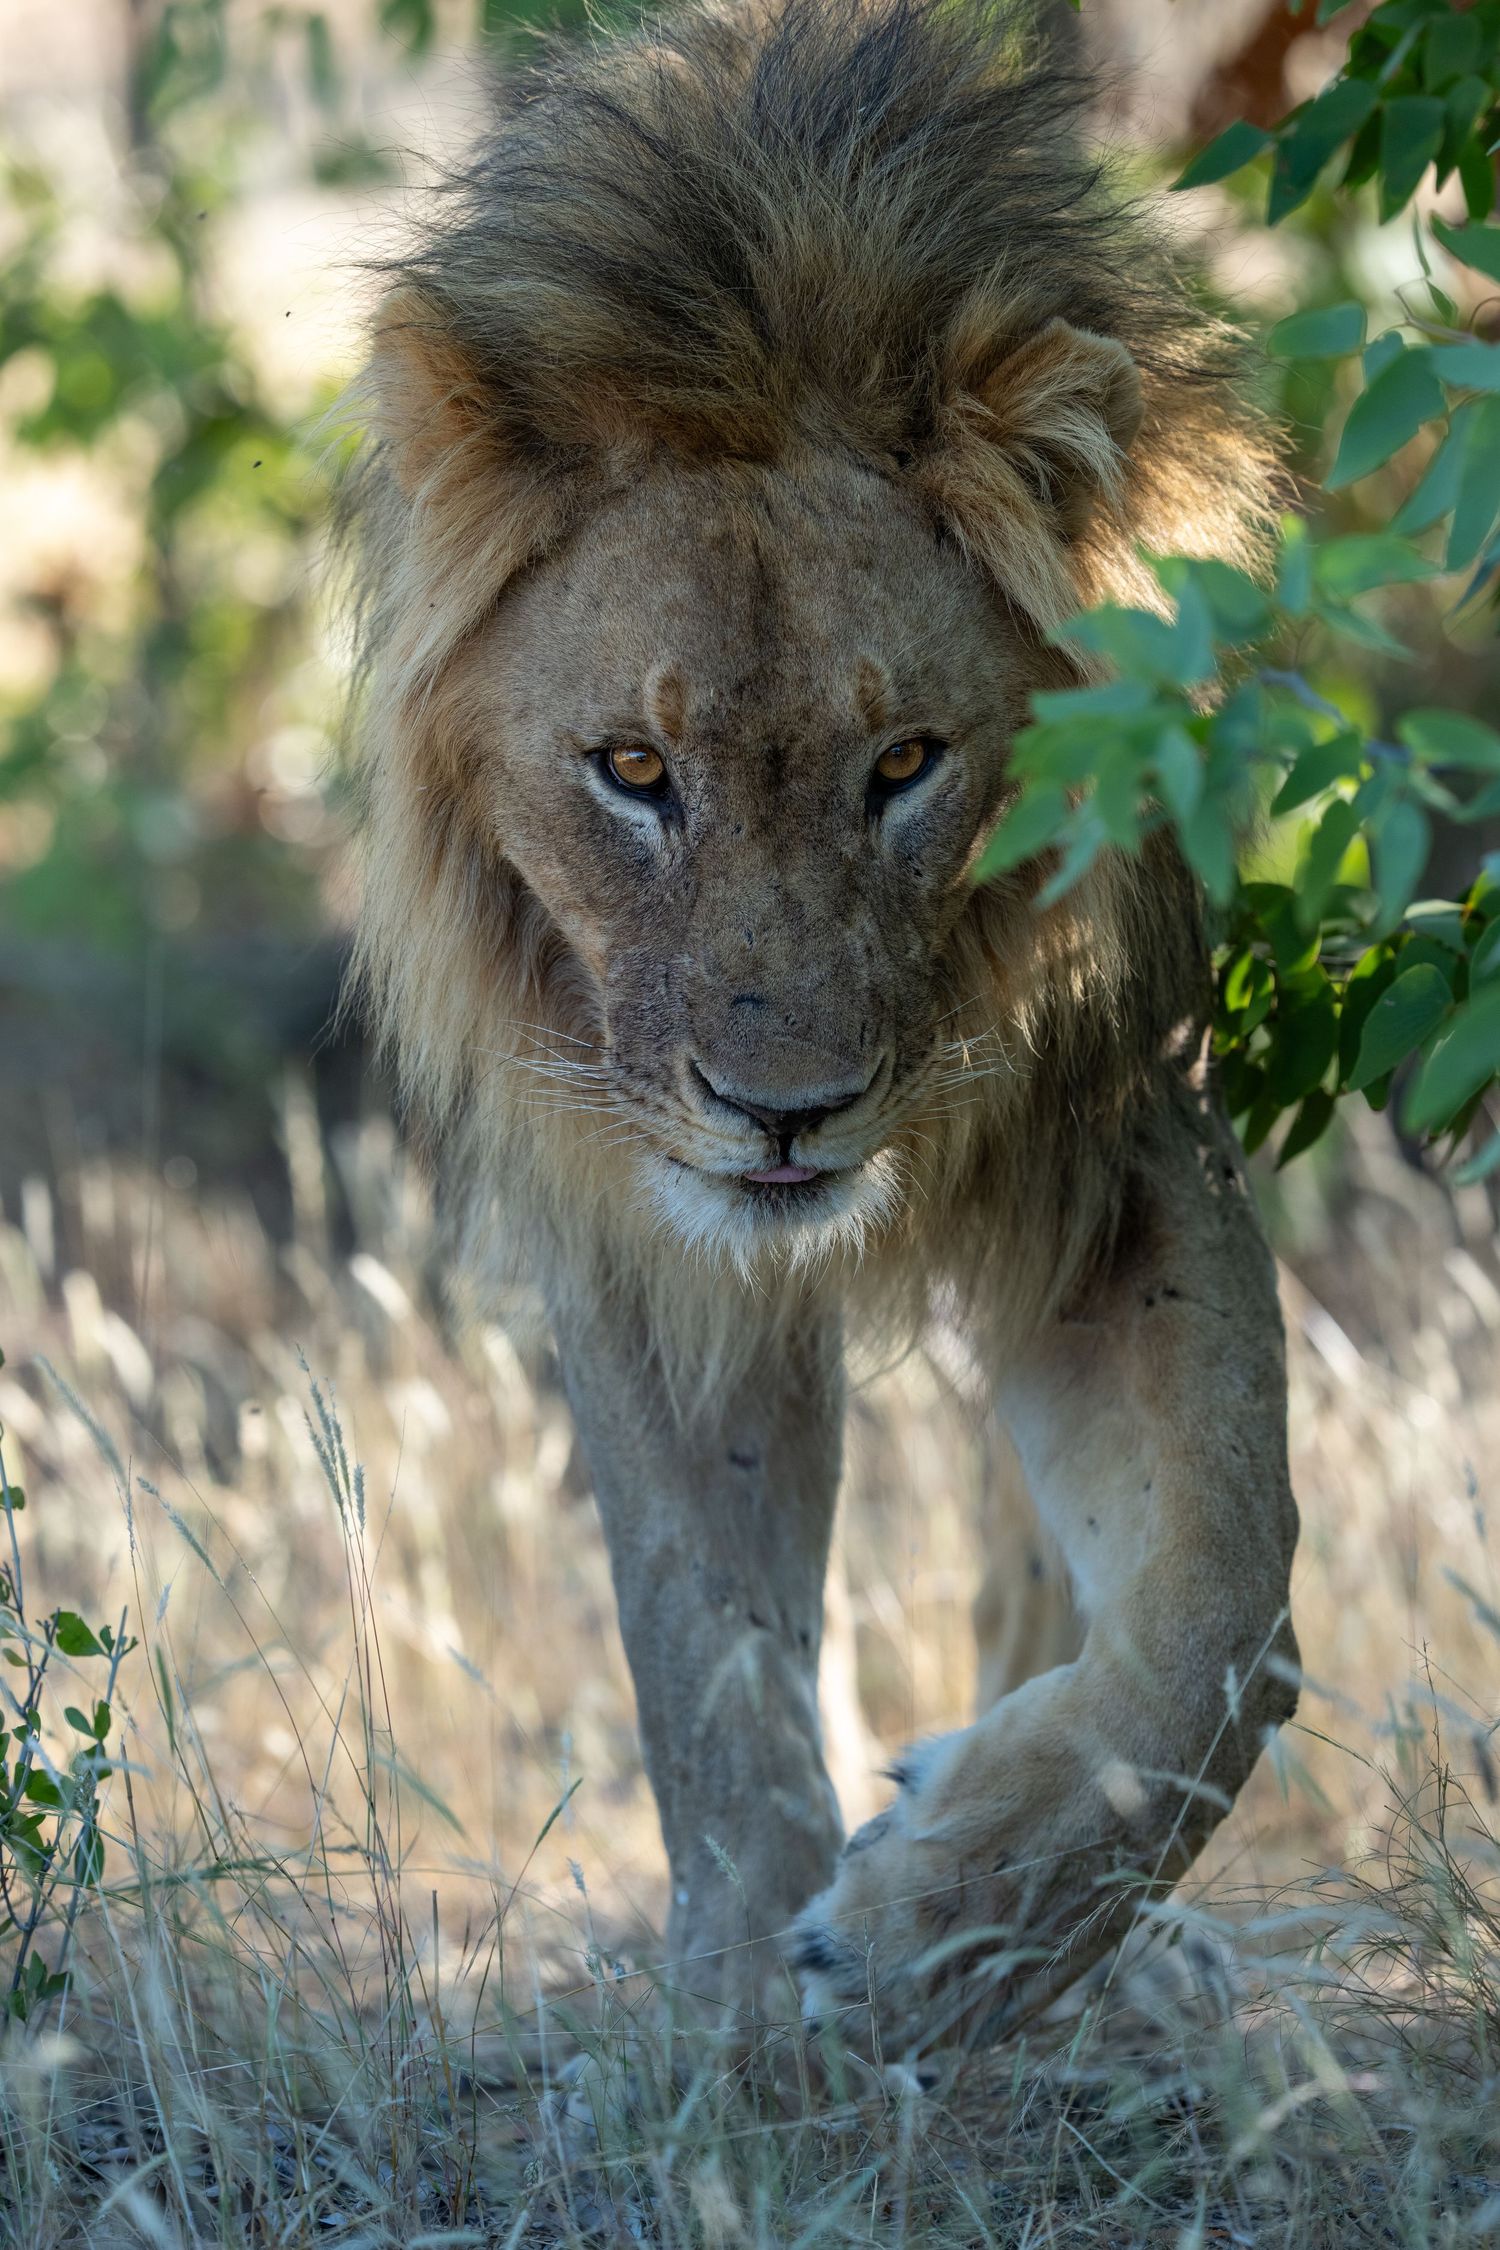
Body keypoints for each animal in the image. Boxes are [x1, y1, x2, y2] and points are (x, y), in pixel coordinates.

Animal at [343, 0, 1300, 2063]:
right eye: (634, 772)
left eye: (907, 766)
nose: (784, 1116)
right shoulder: (636, 1210)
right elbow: (705, 1631)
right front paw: (738, 2017)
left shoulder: (1109, 1132)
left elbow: (1221, 1603)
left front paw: (951, 1934)